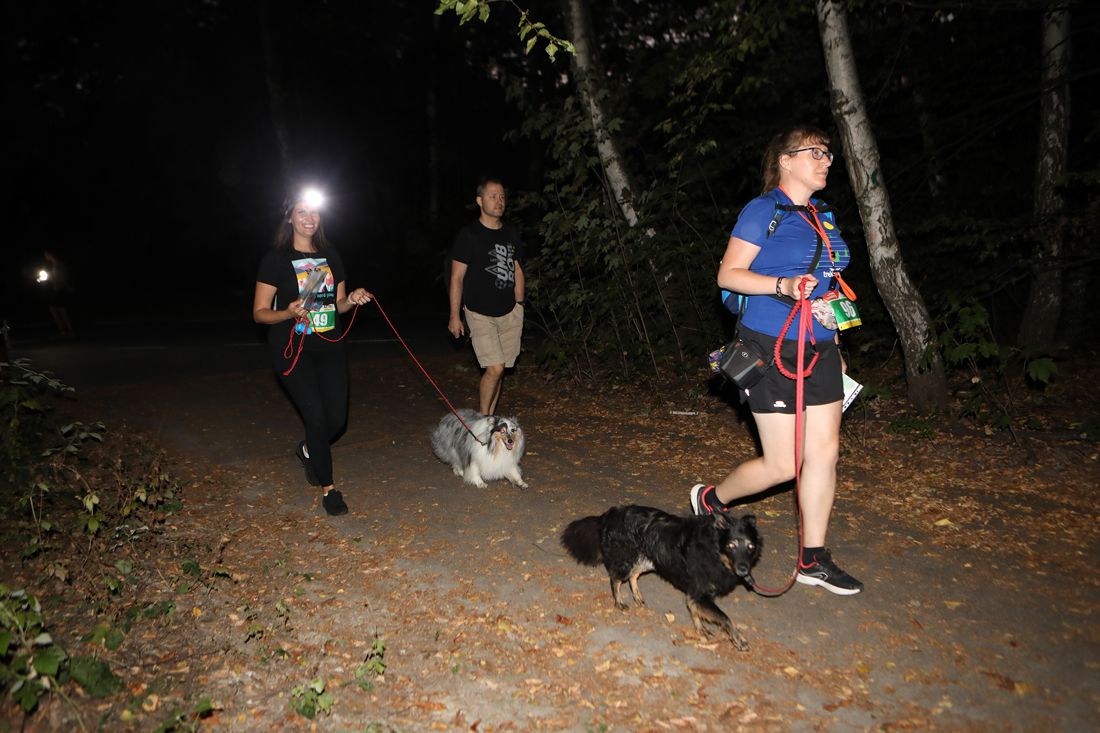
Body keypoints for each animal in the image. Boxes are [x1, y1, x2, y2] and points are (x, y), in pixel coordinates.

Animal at [560, 505, 760, 651]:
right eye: (731, 545)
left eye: (750, 546)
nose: (744, 570)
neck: (712, 549)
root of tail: (609, 514)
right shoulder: (700, 592)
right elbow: (725, 618)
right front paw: (740, 640)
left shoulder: (696, 593)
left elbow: (695, 611)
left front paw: (700, 629)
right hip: (627, 560)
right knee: (615, 579)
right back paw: (619, 602)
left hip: (648, 560)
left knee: (633, 575)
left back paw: (637, 597)